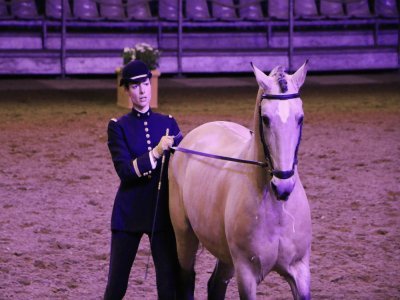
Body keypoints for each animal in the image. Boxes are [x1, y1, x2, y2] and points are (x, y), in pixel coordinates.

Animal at [169, 61, 312, 300]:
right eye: (265, 119)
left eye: (300, 118)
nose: (283, 187)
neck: (276, 210)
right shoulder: (246, 274)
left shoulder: (299, 270)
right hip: (184, 236)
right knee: (185, 277)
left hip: (225, 254)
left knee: (216, 285)